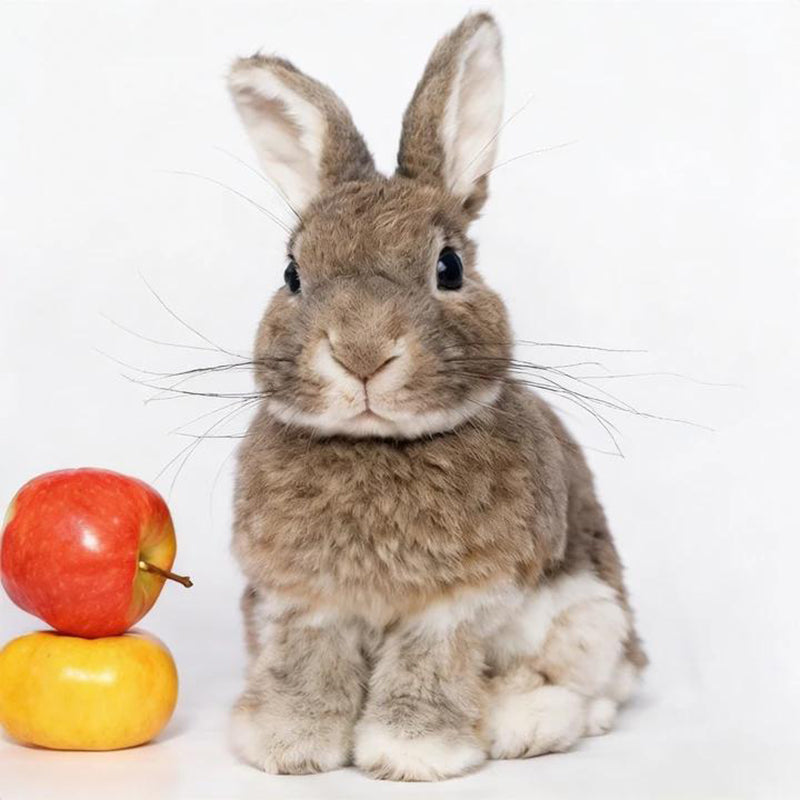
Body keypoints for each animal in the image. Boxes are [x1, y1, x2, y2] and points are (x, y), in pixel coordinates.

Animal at [226, 11, 646, 782]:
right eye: (292, 273)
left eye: (448, 267)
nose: (361, 352)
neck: (377, 447)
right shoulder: (302, 603)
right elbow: (306, 667)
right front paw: (286, 746)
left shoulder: (457, 604)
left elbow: (426, 670)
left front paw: (409, 755)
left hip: (591, 616)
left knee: (602, 684)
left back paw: (527, 723)